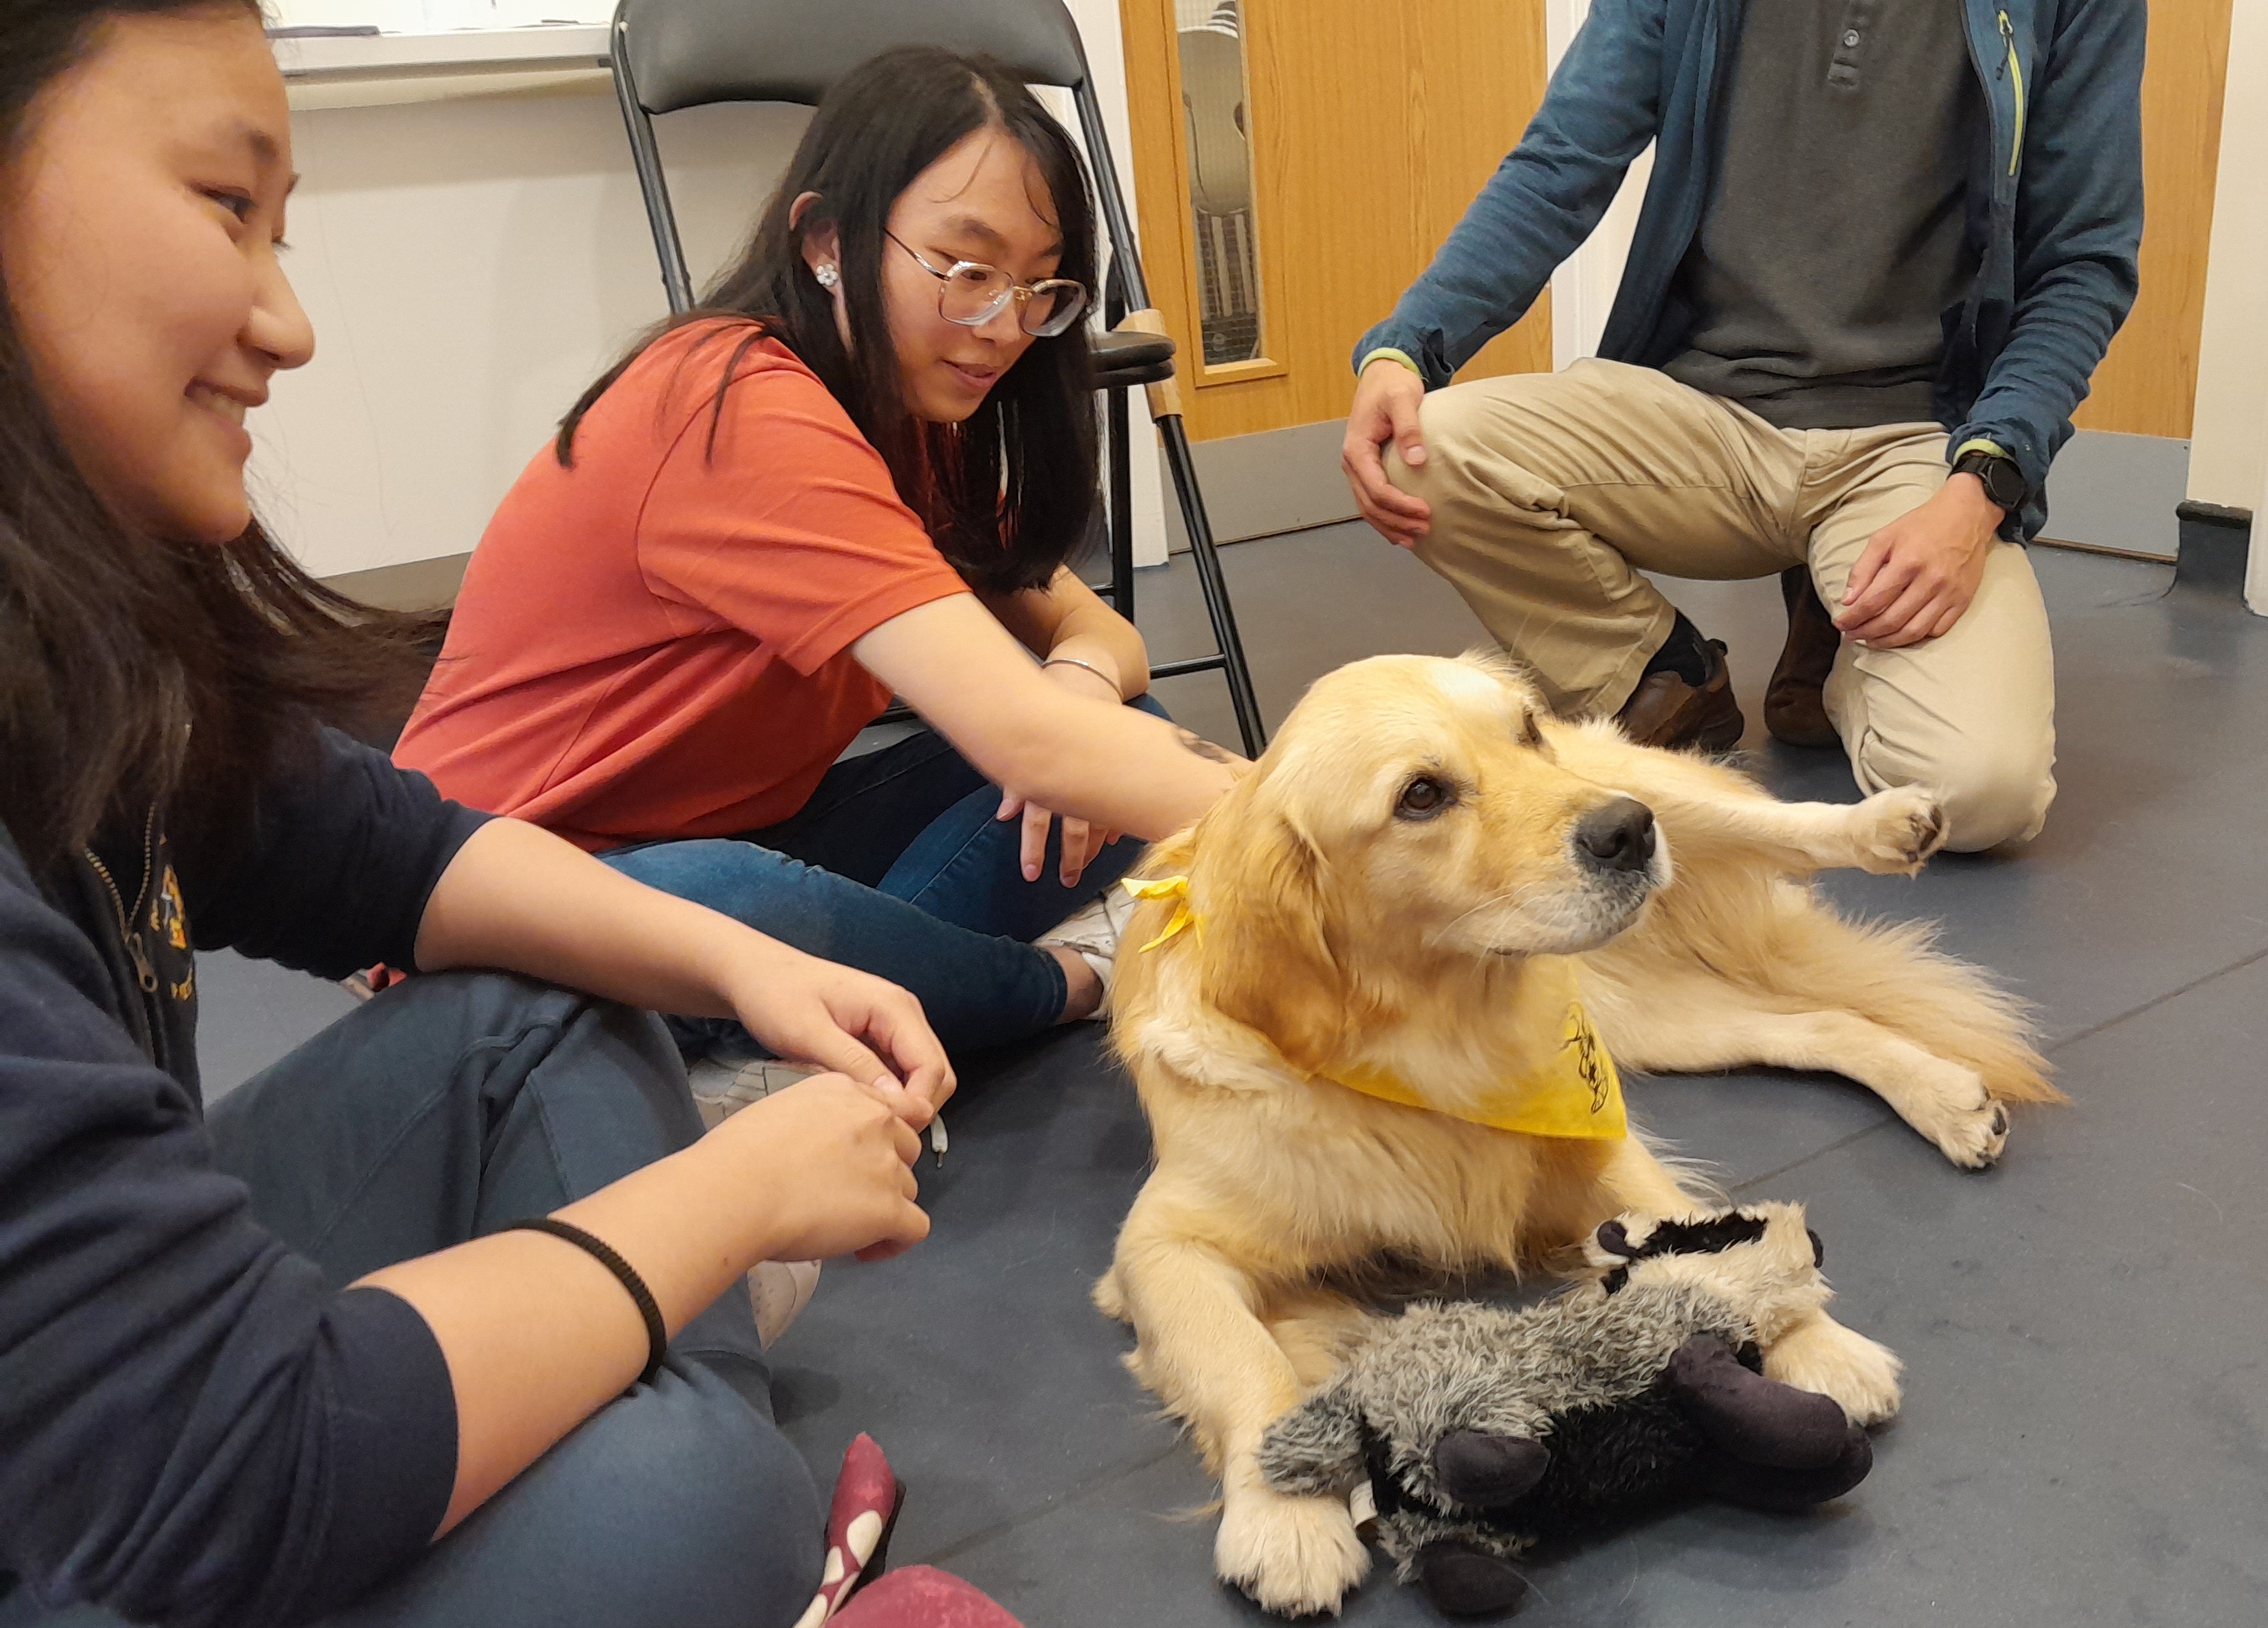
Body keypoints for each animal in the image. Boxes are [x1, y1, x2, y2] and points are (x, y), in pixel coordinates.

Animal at [1089, 653, 2068, 1623]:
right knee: (1818, 1024)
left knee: (1769, 830)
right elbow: (1243, 1357)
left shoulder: (1593, 1145)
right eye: (1419, 796)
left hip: (1650, 811)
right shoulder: (1159, 1246)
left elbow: (1704, 1244)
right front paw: (1285, 1518)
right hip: (1653, 1019)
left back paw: (1889, 826)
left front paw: (1815, 1341)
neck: (1439, 1043)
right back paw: (1943, 1093)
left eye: (1522, 730)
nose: (1624, 834)